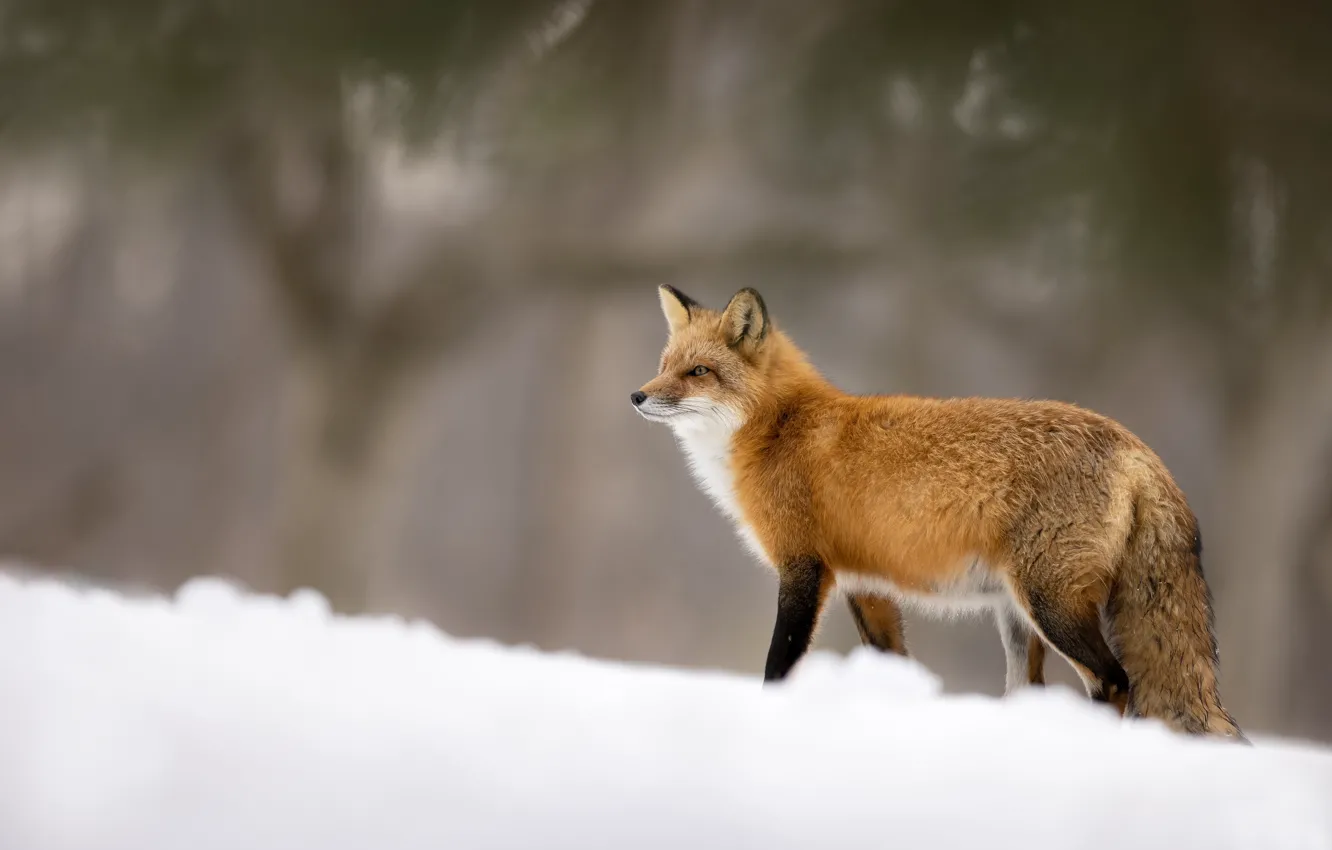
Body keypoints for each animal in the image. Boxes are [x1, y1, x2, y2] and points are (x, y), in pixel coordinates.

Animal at [628, 282, 1241, 740]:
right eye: (664, 365)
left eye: (698, 372)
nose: (637, 396)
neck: (779, 427)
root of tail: (1136, 446)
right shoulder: (864, 585)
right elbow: (894, 662)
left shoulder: (802, 568)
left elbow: (778, 666)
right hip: (1018, 617)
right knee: (1037, 691)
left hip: (1050, 605)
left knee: (1114, 681)